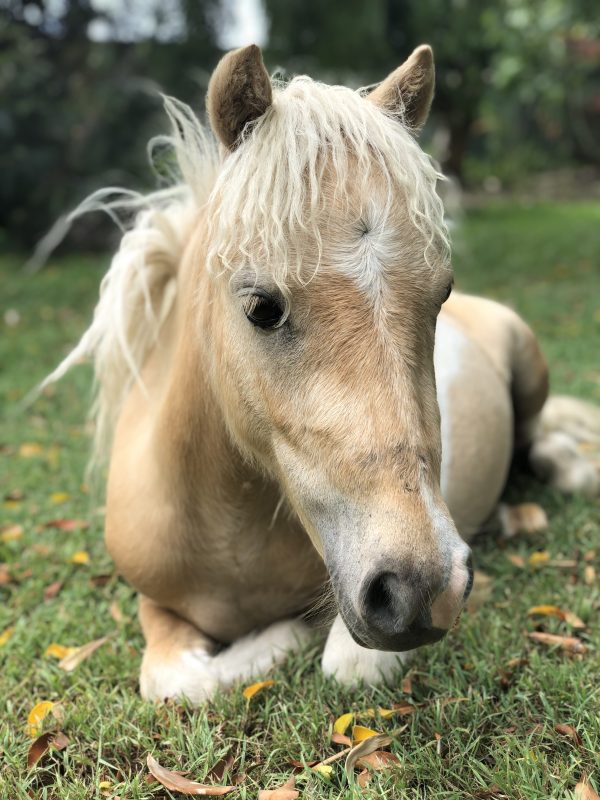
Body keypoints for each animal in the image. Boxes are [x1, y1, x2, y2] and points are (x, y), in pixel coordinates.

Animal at [49, 43, 596, 700]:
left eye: (440, 295)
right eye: (261, 306)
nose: (424, 591)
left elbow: (339, 664)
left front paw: (288, 632)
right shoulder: (153, 604)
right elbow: (177, 684)